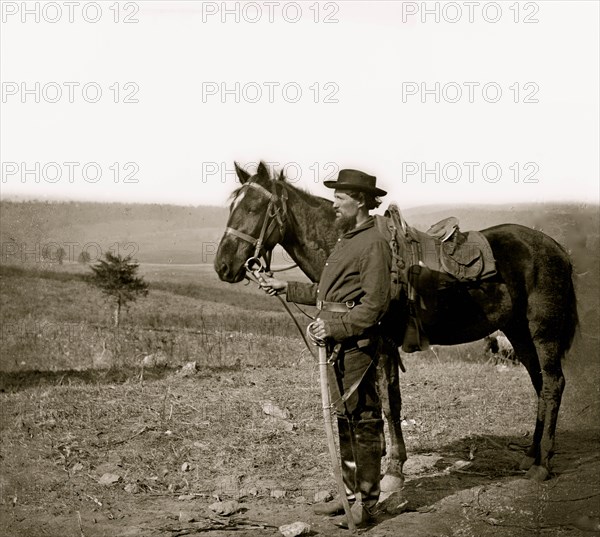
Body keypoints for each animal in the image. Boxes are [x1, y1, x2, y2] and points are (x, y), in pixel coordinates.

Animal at [214, 159, 576, 482]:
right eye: (233, 206)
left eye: (254, 207)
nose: (223, 266)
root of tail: (557, 248)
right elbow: (373, 400)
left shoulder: (385, 343)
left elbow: (390, 403)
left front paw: (394, 469)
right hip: (517, 331)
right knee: (539, 383)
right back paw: (531, 453)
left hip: (543, 332)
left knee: (553, 383)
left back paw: (543, 463)